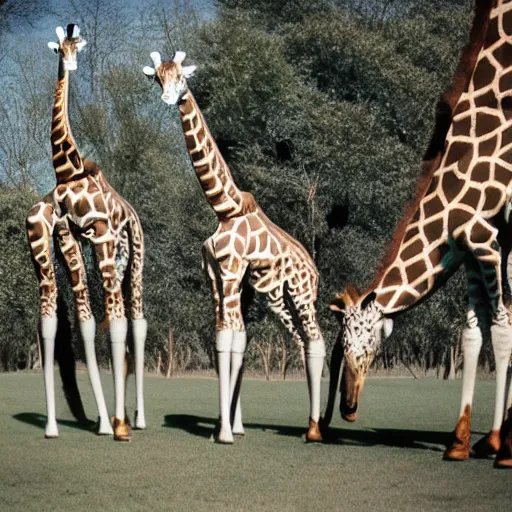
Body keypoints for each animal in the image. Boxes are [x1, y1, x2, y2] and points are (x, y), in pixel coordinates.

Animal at [26, 23, 147, 440]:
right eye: (59, 50)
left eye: (76, 45)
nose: (72, 63)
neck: (69, 170)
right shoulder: (68, 234)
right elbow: (87, 321)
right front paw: (106, 420)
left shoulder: (99, 233)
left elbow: (114, 323)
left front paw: (118, 424)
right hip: (113, 255)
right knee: (114, 317)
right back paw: (112, 418)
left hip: (134, 257)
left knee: (136, 320)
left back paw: (136, 419)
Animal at [141, 51, 324, 444]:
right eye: (158, 78)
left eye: (181, 77)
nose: (168, 98)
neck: (225, 208)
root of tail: (315, 271)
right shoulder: (216, 276)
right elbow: (226, 340)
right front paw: (226, 425)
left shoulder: (230, 271)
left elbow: (228, 338)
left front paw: (225, 431)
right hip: (275, 298)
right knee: (300, 341)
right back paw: (311, 424)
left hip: (302, 294)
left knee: (316, 340)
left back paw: (316, 430)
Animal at [328, 0, 512, 466]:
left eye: (363, 341)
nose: (347, 407)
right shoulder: (471, 248)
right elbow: (472, 335)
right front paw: (461, 441)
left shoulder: (488, 240)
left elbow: (503, 330)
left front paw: (499, 445)